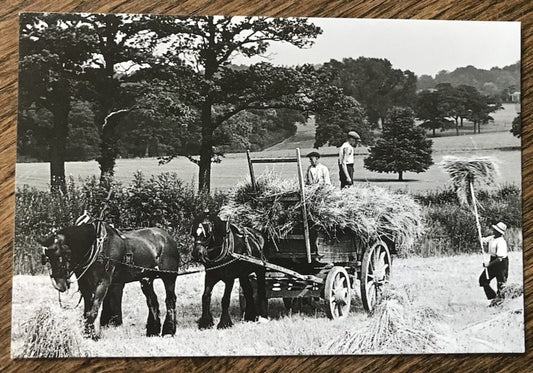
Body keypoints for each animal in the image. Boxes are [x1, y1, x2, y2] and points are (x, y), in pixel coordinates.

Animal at [39, 221, 180, 340]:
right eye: (48, 257)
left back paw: (169, 331)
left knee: (170, 300)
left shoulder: (104, 282)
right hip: (146, 279)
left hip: (169, 277)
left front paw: (92, 336)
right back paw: (153, 331)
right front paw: (87, 333)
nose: (59, 284)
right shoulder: (85, 285)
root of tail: (167, 237)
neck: (97, 248)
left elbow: (94, 309)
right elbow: (87, 311)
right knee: (152, 301)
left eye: (62, 255)